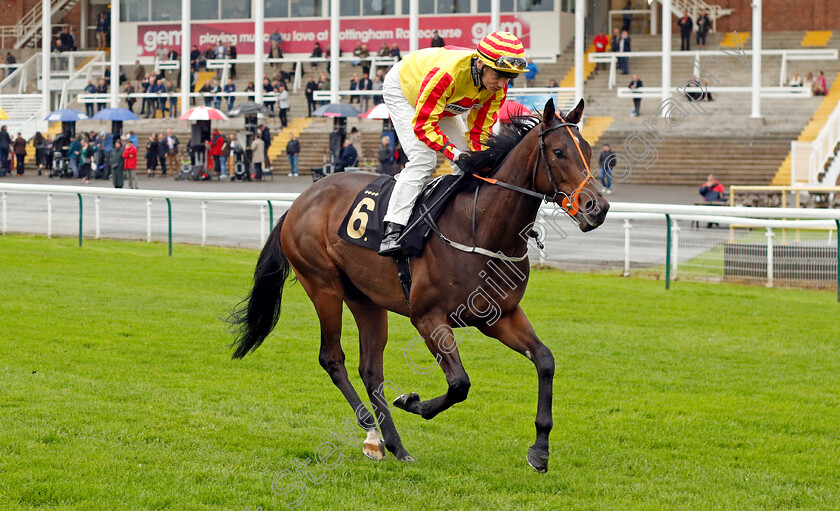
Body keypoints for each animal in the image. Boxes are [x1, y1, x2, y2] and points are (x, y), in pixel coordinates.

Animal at [230, 98, 612, 474]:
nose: (598, 207)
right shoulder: (428, 317)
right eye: (560, 152)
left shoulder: (499, 316)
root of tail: (300, 201)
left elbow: (544, 360)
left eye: (589, 150)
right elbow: (459, 384)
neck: (481, 226)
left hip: (365, 298)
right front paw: (412, 401)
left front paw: (540, 450)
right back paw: (372, 433)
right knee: (332, 358)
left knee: (370, 368)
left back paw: (393, 444)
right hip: (323, 285)